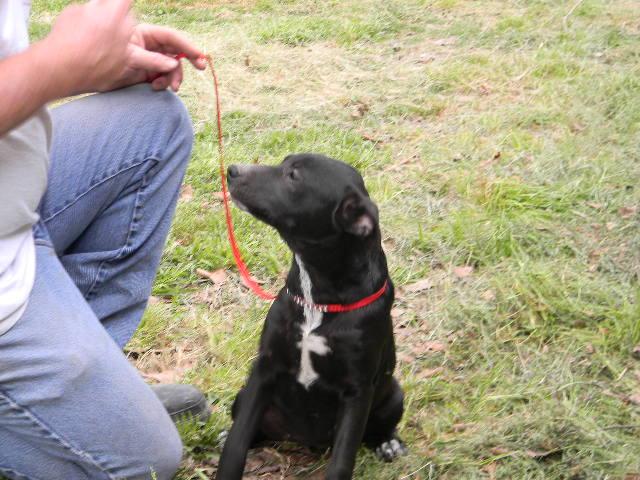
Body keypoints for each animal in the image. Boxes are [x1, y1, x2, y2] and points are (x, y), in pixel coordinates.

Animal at [215, 155, 404, 480]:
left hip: (394, 394)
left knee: (380, 427)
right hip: (244, 396)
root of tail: (303, 440)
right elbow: (237, 443)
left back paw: (388, 442)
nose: (233, 170)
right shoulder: (264, 370)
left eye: (293, 176)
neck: (318, 300)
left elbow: (342, 461)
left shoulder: (357, 391)